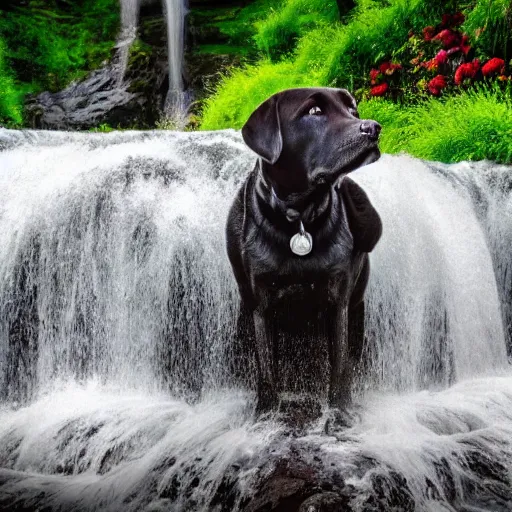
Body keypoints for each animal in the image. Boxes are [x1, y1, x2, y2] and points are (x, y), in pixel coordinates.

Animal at [226, 87, 382, 416]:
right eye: (314, 111)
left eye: (353, 111)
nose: (373, 128)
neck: (299, 217)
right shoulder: (261, 306)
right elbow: (266, 372)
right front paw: (265, 416)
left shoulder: (337, 302)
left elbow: (339, 370)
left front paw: (340, 414)